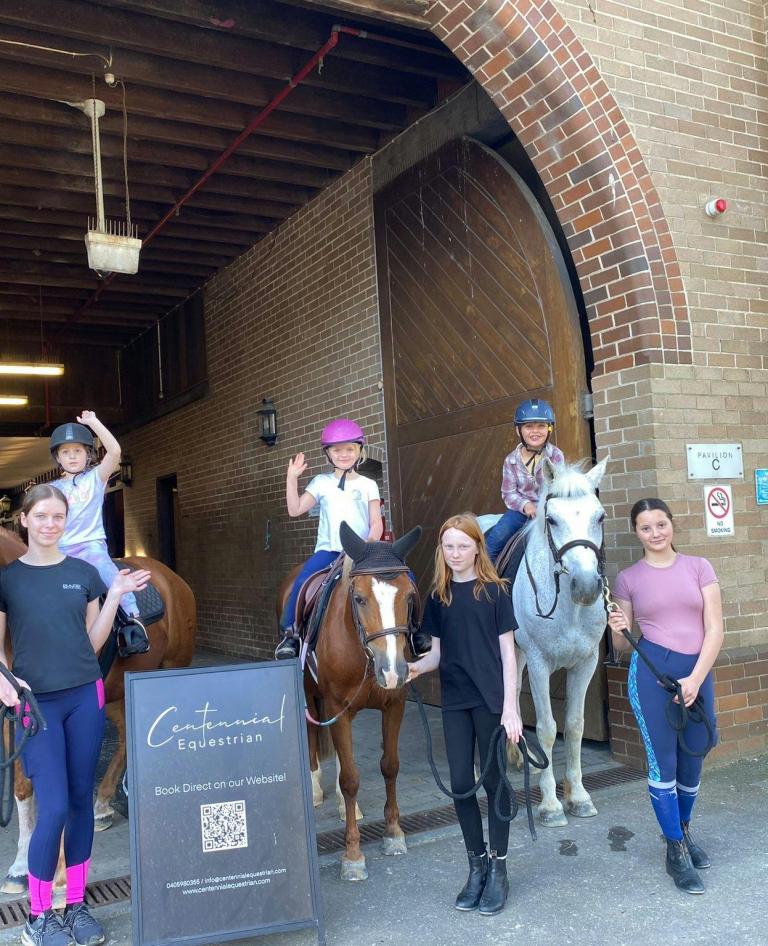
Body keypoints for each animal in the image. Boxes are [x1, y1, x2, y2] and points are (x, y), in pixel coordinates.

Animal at [277, 522, 421, 881]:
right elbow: (350, 779)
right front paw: (353, 855)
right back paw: (316, 789)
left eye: (409, 596)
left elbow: (389, 766)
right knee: (313, 737)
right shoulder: (334, 708)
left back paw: (346, 807)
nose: (392, 670)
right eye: (359, 599)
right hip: (310, 693)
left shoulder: (394, 704)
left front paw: (393, 833)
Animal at [507, 457, 609, 827]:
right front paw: (550, 804)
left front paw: (578, 797)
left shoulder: (586, 663)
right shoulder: (540, 663)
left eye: (600, 517)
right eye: (551, 520)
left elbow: (575, 727)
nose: (586, 585)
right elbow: (549, 729)